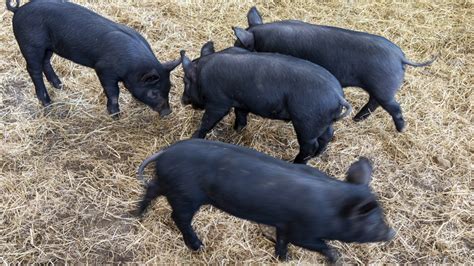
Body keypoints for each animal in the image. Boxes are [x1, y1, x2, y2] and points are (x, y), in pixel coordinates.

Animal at [7, 0, 181, 116]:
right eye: (154, 93)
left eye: (169, 87)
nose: (167, 112)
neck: (133, 68)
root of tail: (18, 10)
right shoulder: (104, 69)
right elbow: (113, 92)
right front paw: (115, 115)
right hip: (30, 44)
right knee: (33, 69)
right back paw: (47, 102)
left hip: (49, 47)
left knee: (45, 62)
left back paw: (60, 85)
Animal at [135, 139, 394, 262]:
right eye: (372, 221)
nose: (391, 233)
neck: (333, 206)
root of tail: (166, 152)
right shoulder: (303, 232)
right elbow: (319, 245)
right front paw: (337, 260)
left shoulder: (284, 225)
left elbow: (281, 242)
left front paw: (283, 259)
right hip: (186, 196)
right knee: (178, 217)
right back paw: (198, 246)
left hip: (169, 184)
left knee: (151, 189)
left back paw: (136, 214)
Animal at [180, 41, 350, 163]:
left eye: (185, 81)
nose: (182, 100)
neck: (202, 72)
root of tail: (337, 95)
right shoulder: (241, 101)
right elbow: (241, 116)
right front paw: (236, 131)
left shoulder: (218, 102)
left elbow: (207, 122)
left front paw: (193, 137)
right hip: (322, 122)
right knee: (327, 135)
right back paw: (317, 156)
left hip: (307, 122)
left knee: (309, 146)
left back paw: (294, 162)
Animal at [233, 7, 436, 132]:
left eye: (240, 45)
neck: (262, 38)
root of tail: (401, 58)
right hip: (379, 89)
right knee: (373, 103)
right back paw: (357, 119)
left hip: (383, 87)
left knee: (393, 107)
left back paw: (401, 129)